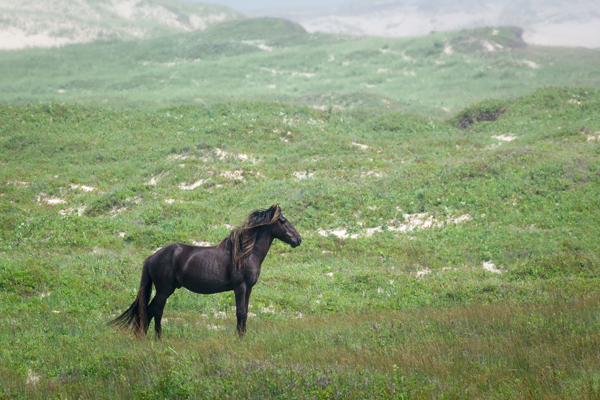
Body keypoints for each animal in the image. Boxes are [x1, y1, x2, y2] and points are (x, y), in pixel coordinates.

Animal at [109, 206, 300, 338]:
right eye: (283, 221)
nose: (298, 239)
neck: (245, 254)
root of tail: (153, 257)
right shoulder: (240, 287)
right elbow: (240, 312)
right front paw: (239, 338)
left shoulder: (249, 289)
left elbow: (245, 312)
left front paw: (243, 336)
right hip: (164, 291)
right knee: (155, 311)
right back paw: (158, 338)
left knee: (149, 311)